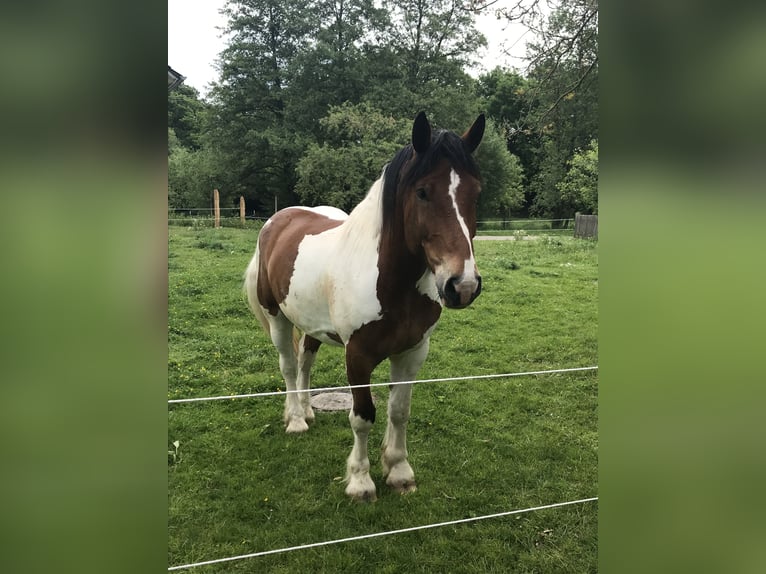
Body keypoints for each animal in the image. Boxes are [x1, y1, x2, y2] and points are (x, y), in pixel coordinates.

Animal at [246, 112, 486, 504]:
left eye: (475, 192)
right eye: (422, 192)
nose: (462, 285)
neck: (389, 282)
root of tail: (278, 221)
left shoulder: (412, 351)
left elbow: (399, 411)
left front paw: (399, 471)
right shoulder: (357, 355)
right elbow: (362, 416)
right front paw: (360, 481)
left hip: (312, 325)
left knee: (305, 362)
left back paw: (308, 411)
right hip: (277, 317)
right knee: (288, 366)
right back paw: (295, 419)